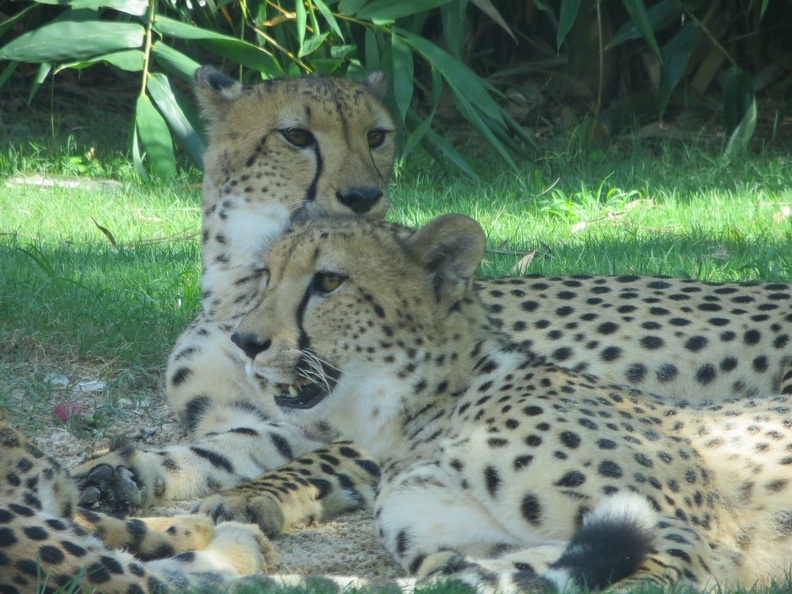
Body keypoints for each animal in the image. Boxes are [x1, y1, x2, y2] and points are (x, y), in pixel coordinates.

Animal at [72, 66, 792, 528]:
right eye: (296, 136)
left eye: (377, 135)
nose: (364, 196)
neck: (240, 280)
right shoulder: (276, 415)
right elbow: (220, 448)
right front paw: (126, 471)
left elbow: (315, 459)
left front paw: (256, 497)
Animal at [227, 214, 792, 592]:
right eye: (266, 277)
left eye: (328, 281)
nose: (244, 341)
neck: (420, 418)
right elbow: (467, 573)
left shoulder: (689, 541)